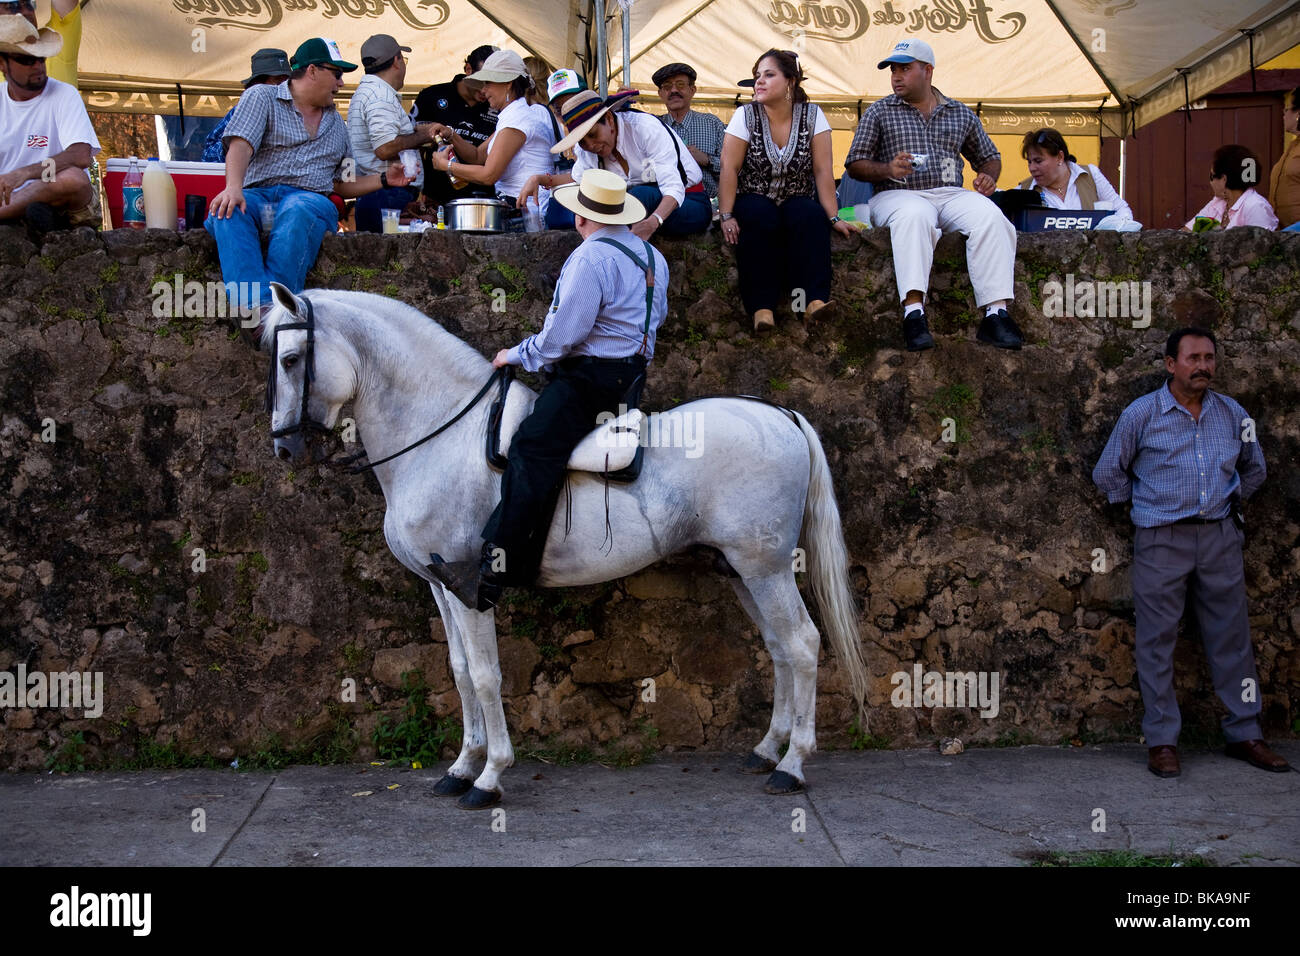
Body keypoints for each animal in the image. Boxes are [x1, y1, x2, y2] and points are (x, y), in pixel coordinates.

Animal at [262, 282, 868, 806]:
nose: (285, 450)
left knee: (802, 644)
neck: (442, 434)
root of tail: (781, 414)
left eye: (290, 360)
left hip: (765, 568)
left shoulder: (469, 589)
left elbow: (486, 676)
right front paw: (460, 768)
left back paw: (792, 765)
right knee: (779, 647)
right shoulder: (441, 588)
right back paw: (767, 751)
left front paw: (490, 776)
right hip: (742, 571)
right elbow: (458, 672)